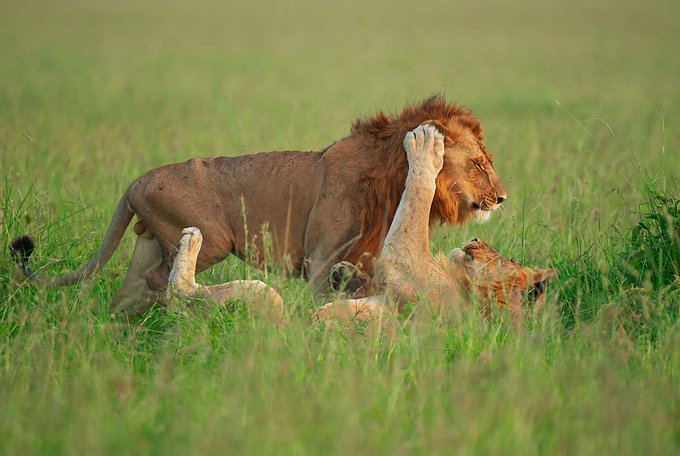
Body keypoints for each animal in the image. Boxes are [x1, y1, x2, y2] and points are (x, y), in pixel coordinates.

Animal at [9, 95, 506, 316]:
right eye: (479, 164)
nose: (502, 198)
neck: (389, 174)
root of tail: (139, 179)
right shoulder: (320, 259)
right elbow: (324, 290)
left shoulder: (362, 256)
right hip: (211, 238)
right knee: (160, 278)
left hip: (149, 242)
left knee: (128, 291)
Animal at [312, 125, 556, 328]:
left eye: (510, 260)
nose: (476, 239)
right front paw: (346, 275)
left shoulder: (409, 268)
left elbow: (418, 201)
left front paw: (426, 144)